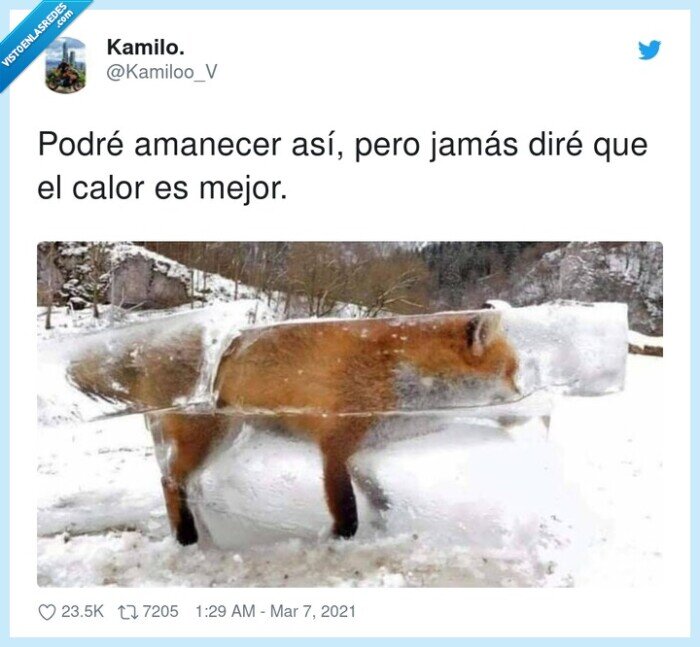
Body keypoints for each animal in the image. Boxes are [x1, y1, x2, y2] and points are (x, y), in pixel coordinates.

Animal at [68, 310, 519, 546]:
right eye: (512, 374)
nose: (522, 399)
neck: (396, 374)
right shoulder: (334, 445)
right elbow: (347, 510)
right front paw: (338, 538)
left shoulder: (360, 451)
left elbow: (376, 493)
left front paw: (385, 516)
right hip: (207, 437)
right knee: (169, 481)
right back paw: (187, 535)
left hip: (224, 440)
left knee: (178, 478)